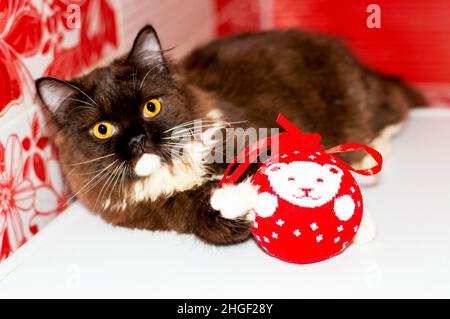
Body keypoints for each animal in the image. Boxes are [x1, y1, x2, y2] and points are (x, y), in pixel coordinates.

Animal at [35, 25, 426, 246]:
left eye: (151, 107)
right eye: (103, 129)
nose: (137, 140)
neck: (176, 172)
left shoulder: (255, 135)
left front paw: (360, 226)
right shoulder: (158, 211)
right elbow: (210, 216)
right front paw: (232, 197)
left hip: (354, 94)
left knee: (394, 106)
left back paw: (367, 150)